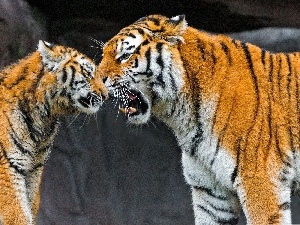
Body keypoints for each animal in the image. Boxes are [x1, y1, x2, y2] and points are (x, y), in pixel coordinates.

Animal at [97, 14, 300, 225]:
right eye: (103, 55)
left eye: (124, 56)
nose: (96, 83)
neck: (184, 116)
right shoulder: (211, 192)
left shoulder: (260, 181)